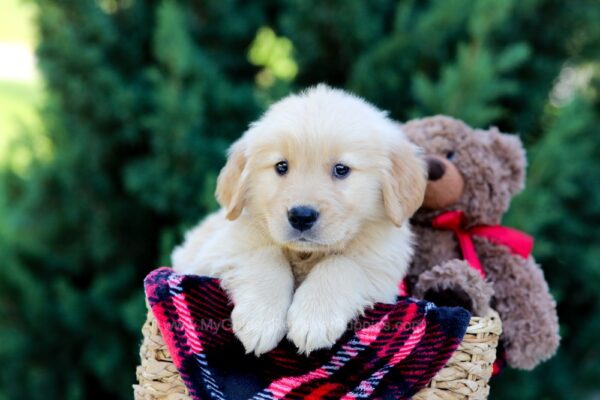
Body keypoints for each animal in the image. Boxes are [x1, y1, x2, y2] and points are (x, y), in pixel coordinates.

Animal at [172, 86, 426, 354]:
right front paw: (260, 319)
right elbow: (265, 254)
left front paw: (314, 319)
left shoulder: (381, 267)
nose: (301, 216)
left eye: (341, 169)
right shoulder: (217, 251)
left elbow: (342, 264)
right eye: (281, 166)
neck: (306, 254)